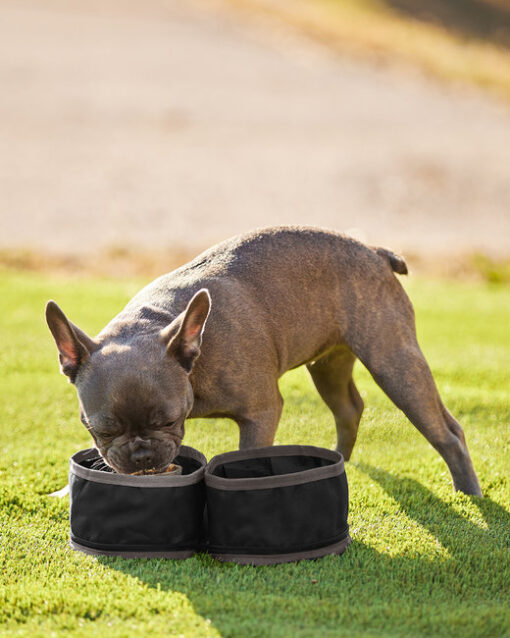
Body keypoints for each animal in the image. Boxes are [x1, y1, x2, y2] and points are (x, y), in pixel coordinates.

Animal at [45, 228, 480, 498]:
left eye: (168, 421)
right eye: (102, 429)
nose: (141, 455)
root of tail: (375, 253)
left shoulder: (260, 412)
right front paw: (66, 491)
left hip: (393, 362)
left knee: (446, 431)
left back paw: (469, 493)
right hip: (329, 365)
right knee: (349, 408)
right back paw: (343, 459)